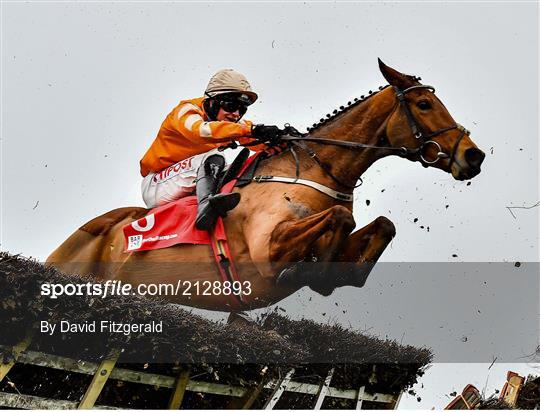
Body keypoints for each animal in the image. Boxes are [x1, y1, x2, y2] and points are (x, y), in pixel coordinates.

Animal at [46, 60, 486, 312]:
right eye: (425, 105)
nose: (474, 156)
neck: (316, 169)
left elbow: (381, 227)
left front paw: (324, 275)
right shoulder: (266, 251)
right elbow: (338, 217)